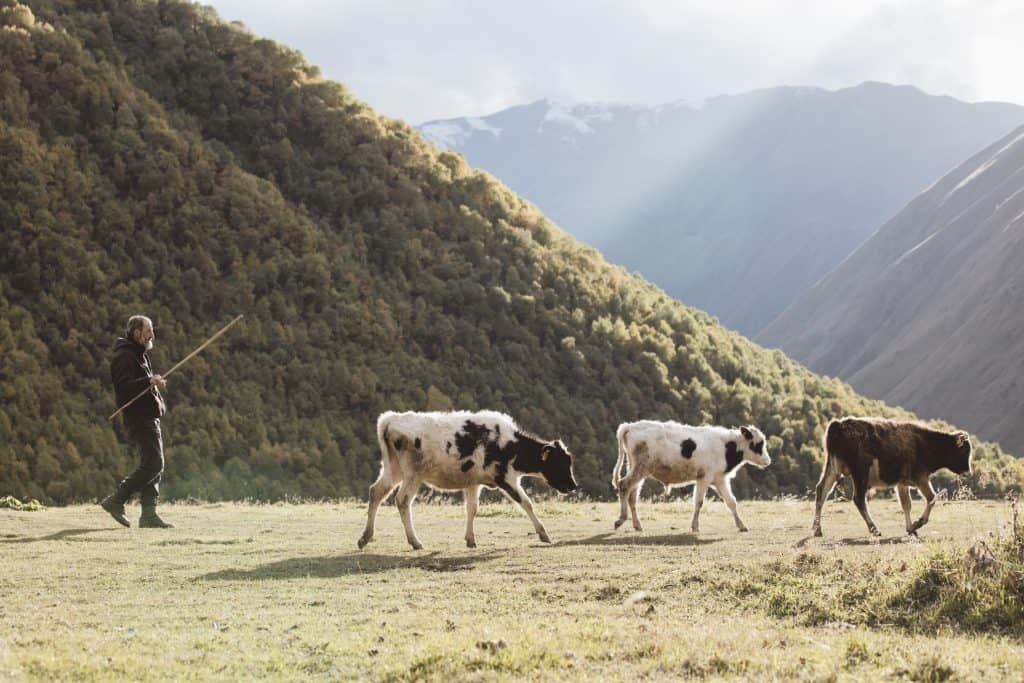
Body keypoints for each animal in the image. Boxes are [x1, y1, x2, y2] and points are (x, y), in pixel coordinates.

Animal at [356, 411, 577, 548]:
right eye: (559, 463)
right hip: (412, 474)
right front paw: (543, 534)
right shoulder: (505, 478)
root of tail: (392, 419)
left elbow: (472, 508)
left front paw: (470, 539)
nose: (573, 486)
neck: (509, 444)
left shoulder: (473, 482)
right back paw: (415, 542)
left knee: (376, 492)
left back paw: (365, 537)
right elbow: (526, 503)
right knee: (402, 500)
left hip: (393, 470)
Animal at [610, 421, 770, 532]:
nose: (768, 461)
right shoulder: (704, 478)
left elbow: (731, 502)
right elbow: (699, 502)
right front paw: (695, 526)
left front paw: (742, 525)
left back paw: (637, 525)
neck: (726, 447)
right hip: (640, 469)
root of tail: (630, 426)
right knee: (624, 485)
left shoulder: (720, 480)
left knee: (632, 495)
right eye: (758, 444)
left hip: (636, 468)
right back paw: (621, 519)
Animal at [811, 417, 970, 540]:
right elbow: (932, 498)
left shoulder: (902, 483)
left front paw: (911, 529)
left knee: (821, 491)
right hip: (860, 474)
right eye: (964, 451)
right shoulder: (920, 478)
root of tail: (839, 424)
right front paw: (918, 523)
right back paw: (874, 529)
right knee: (859, 499)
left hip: (833, 469)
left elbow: (906, 505)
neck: (924, 443)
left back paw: (817, 529)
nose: (968, 472)